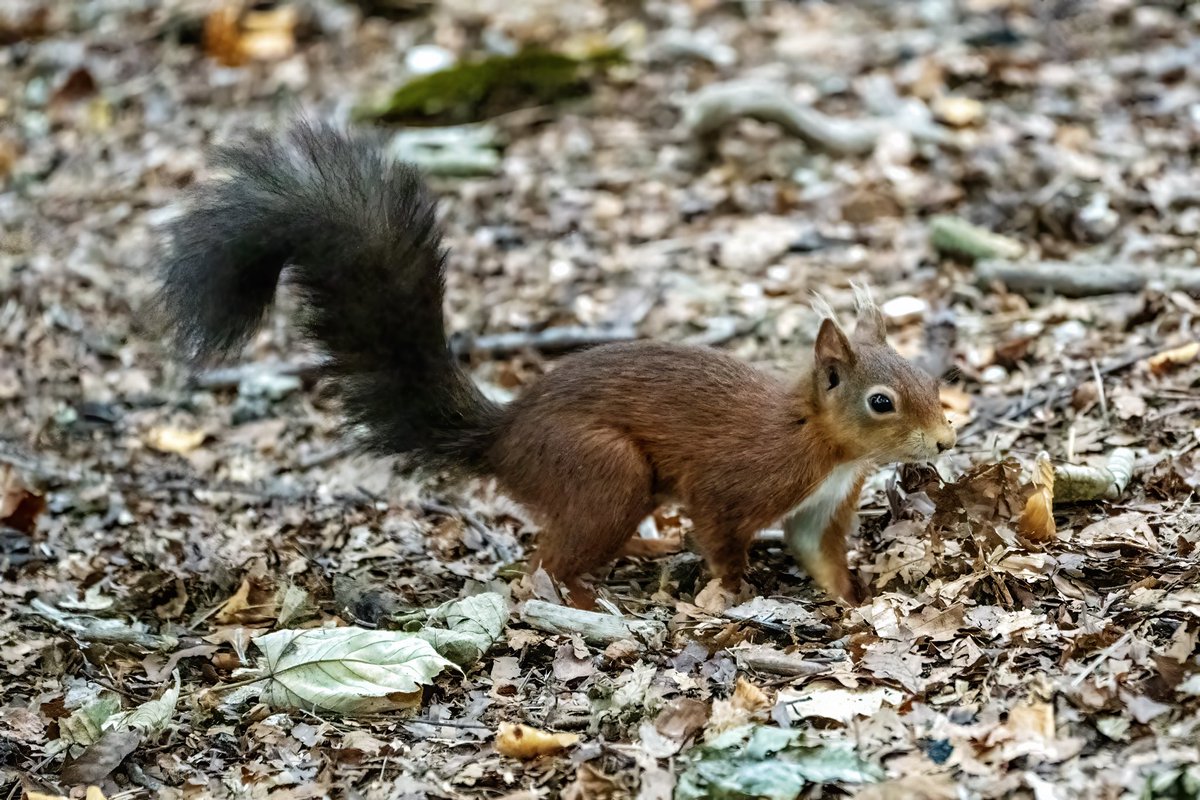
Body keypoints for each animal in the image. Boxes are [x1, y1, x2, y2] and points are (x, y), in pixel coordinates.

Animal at [154, 120, 950, 606]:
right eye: (881, 401)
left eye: (931, 377)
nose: (944, 440)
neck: (822, 443)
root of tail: (504, 438)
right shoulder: (740, 479)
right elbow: (722, 532)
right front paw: (734, 592)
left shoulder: (821, 509)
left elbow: (821, 556)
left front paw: (851, 601)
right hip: (601, 469)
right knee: (540, 562)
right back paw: (583, 595)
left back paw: (645, 550)